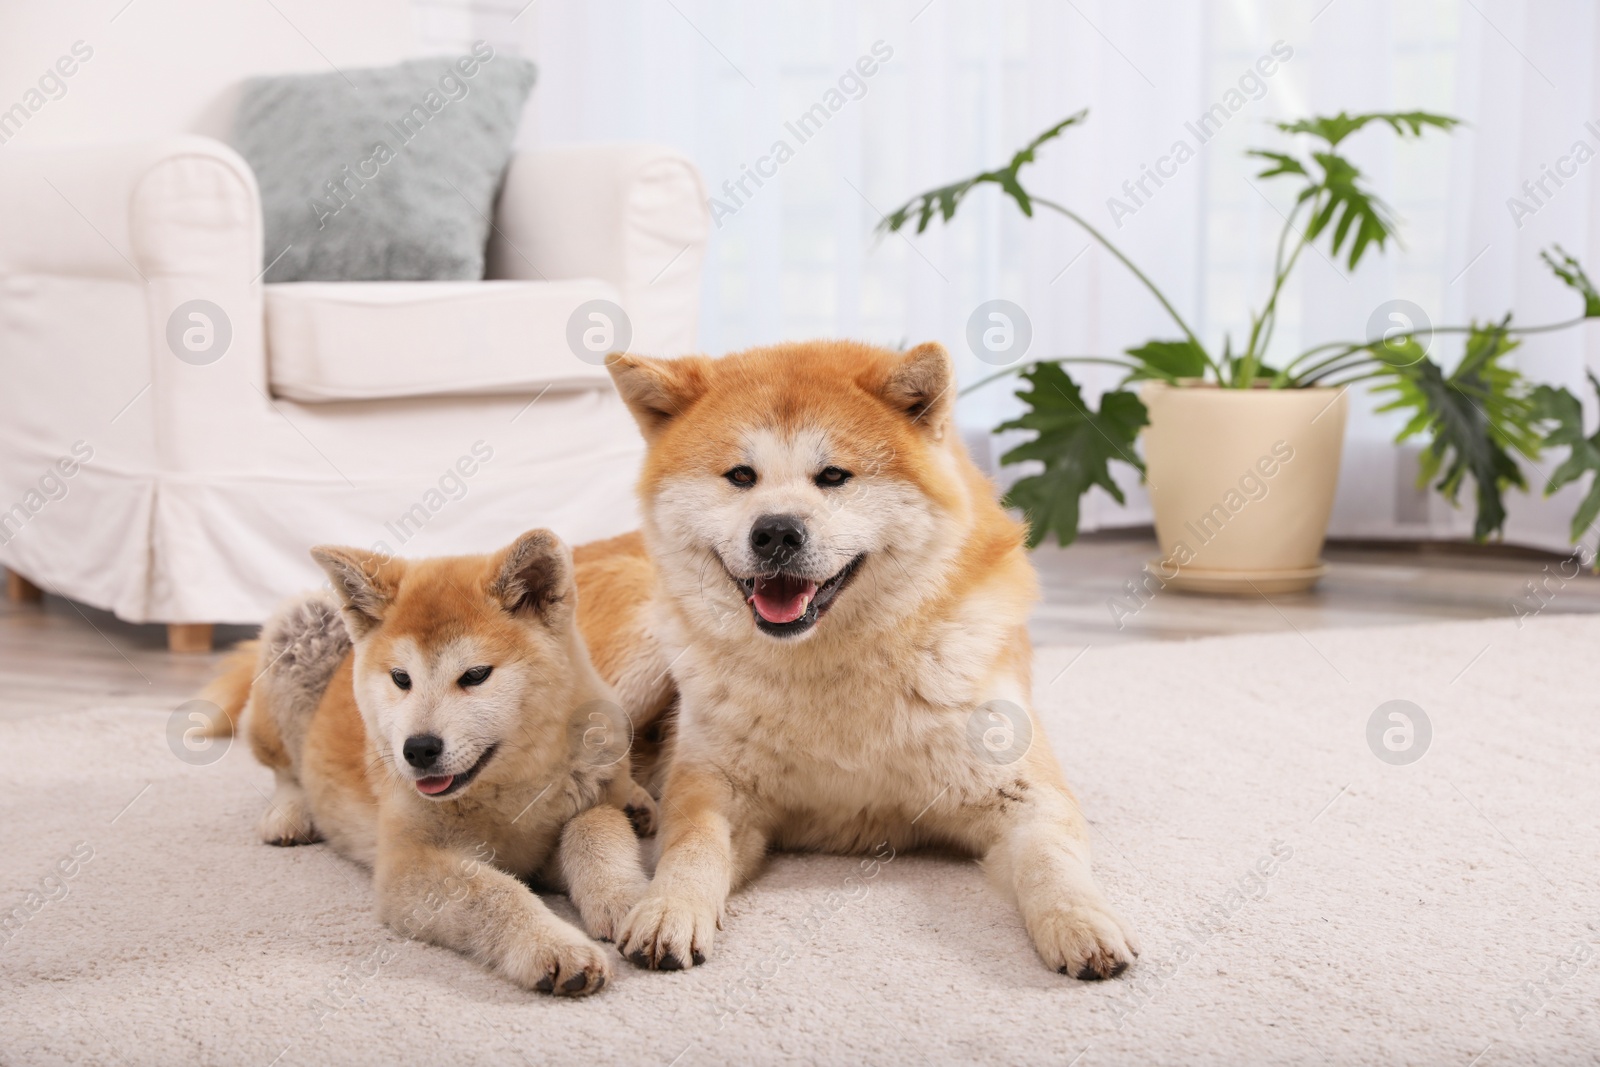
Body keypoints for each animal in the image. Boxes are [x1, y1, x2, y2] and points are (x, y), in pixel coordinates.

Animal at [206, 531, 656, 998]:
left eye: (475, 675)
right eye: (401, 678)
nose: (418, 749)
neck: (506, 793)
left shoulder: (577, 813)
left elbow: (596, 830)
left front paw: (626, 900)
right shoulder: (408, 866)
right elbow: (494, 891)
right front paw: (553, 944)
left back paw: (639, 802)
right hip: (301, 623)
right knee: (285, 769)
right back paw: (289, 813)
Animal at [576, 337, 1139, 979]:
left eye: (833, 476)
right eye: (741, 476)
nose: (776, 532)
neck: (829, 665)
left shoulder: (1023, 792)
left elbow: (1052, 859)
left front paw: (1081, 921)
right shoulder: (713, 788)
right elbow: (692, 846)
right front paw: (669, 907)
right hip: (640, 654)